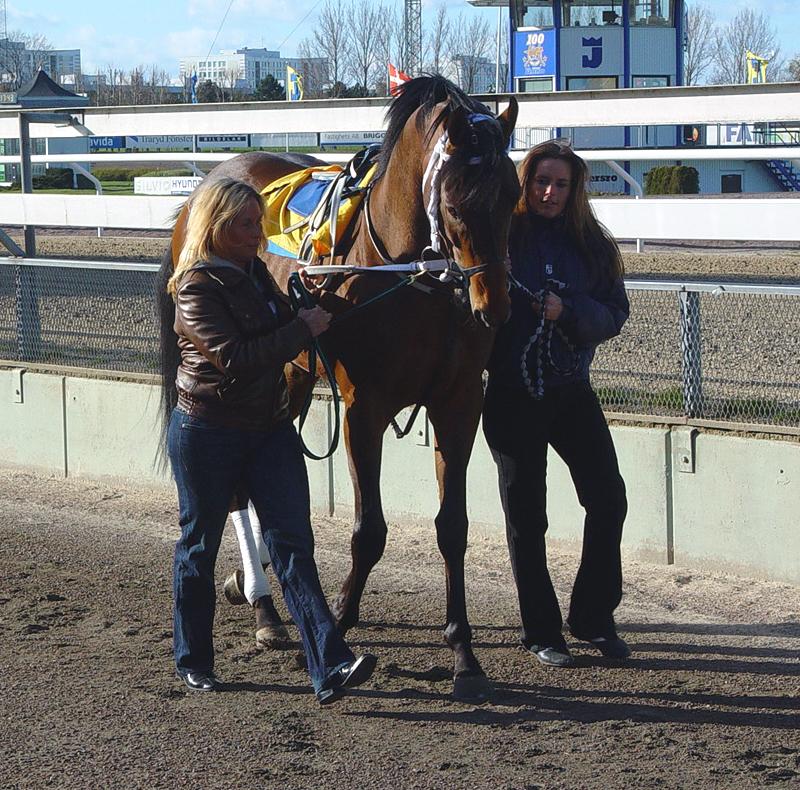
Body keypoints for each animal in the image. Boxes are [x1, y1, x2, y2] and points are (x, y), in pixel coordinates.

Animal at [157, 75, 520, 700]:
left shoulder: (458, 405)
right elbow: (369, 530)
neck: (410, 280)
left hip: (290, 375)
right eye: (454, 202)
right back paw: (264, 605)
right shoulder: (363, 410)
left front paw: (463, 654)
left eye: (513, 194)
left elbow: (452, 528)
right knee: (236, 489)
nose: (492, 306)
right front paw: (343, 621)